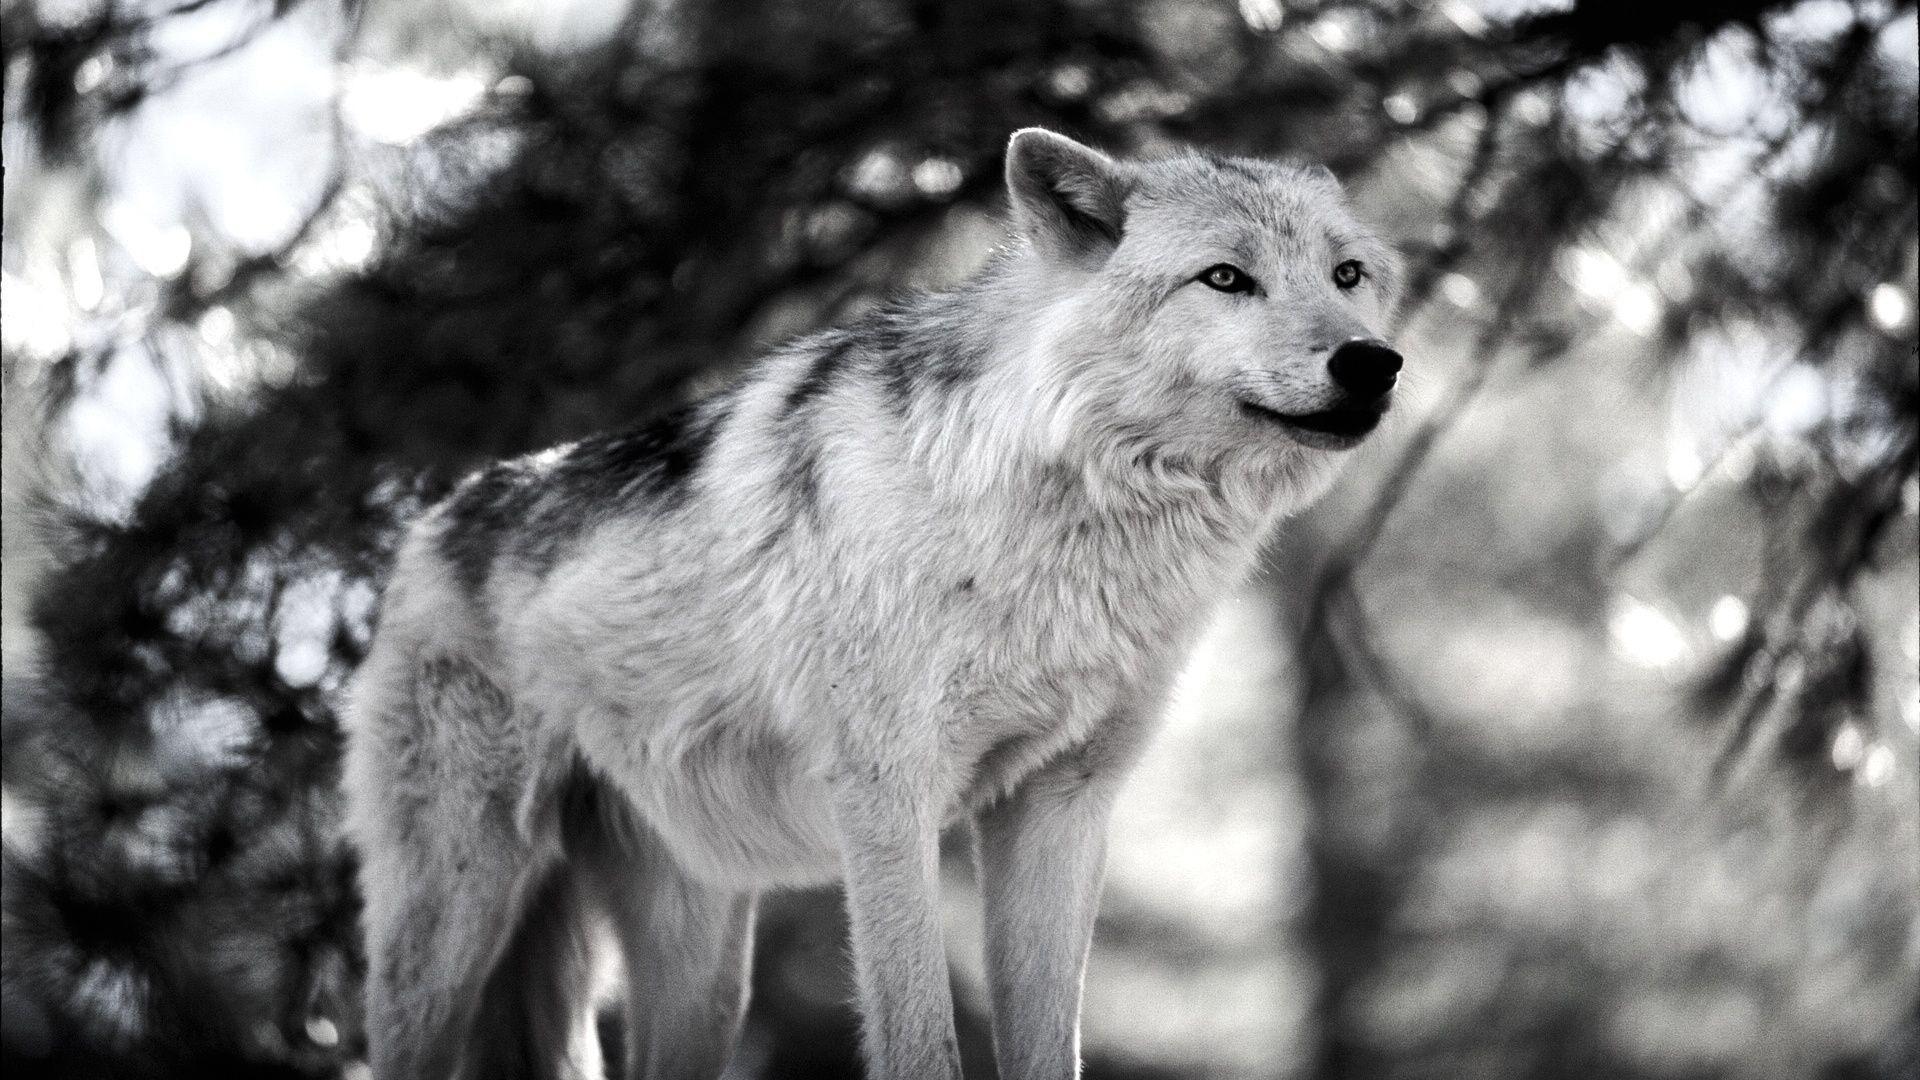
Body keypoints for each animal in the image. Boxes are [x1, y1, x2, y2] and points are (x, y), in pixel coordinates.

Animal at [343, 127, 1403, 1080]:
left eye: (1346, 274)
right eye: (1225, 278)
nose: (1373, 362)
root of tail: (431, 519)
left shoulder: (1059, 807)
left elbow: (1048, 1047)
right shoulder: (888, 800)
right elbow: (921, 1041)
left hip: (701, 971)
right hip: (451, 924)